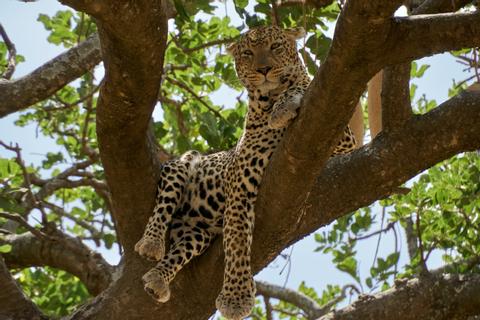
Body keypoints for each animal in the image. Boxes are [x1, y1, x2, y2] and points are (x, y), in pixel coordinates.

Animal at [135, 25, 356, 320]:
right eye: (248, 53)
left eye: (276, 47)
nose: (263, 69)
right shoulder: (239, 183)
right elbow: (237, 241)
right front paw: (236, 299)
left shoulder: (342, 138)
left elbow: (301, 85)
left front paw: (285, 105)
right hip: (181, 165)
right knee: (162, 208)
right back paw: (151, 245)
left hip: (197, 233)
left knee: (181, 250)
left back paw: (158, 279)